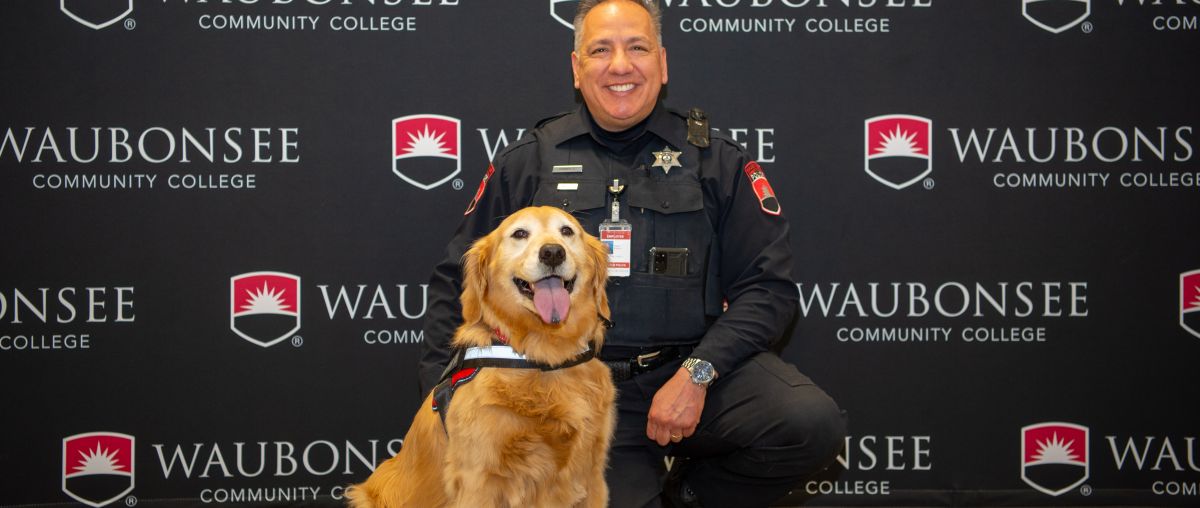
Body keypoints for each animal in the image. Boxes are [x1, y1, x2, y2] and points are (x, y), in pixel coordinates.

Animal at [345, 206, 609, 508]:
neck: (541, 358)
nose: (552, 252)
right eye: (520, 233)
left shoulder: (592, 476)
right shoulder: (478, 479)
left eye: (567, 231)